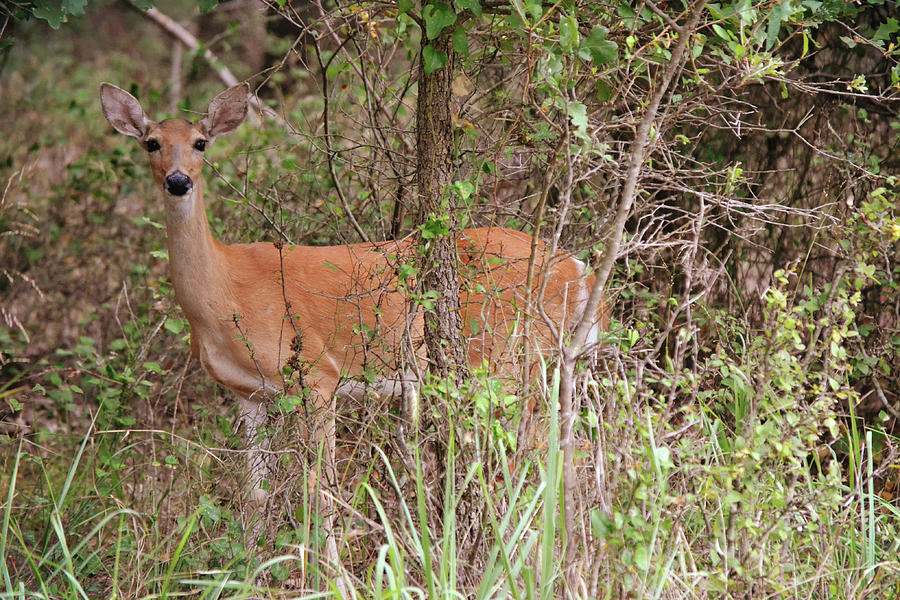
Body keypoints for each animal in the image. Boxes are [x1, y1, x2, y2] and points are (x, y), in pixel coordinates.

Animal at [96, 81, 604, 556]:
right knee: (571, 447)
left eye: (201, 142)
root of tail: (580, 269)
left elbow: (321, 488)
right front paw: (250, 565)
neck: (224, 295)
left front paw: (327, 570)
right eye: (151, 142)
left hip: (511, 358)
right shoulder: (246, 393)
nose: (178, 181)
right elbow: (255, 494)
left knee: (540, 453)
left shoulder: (317, 373)